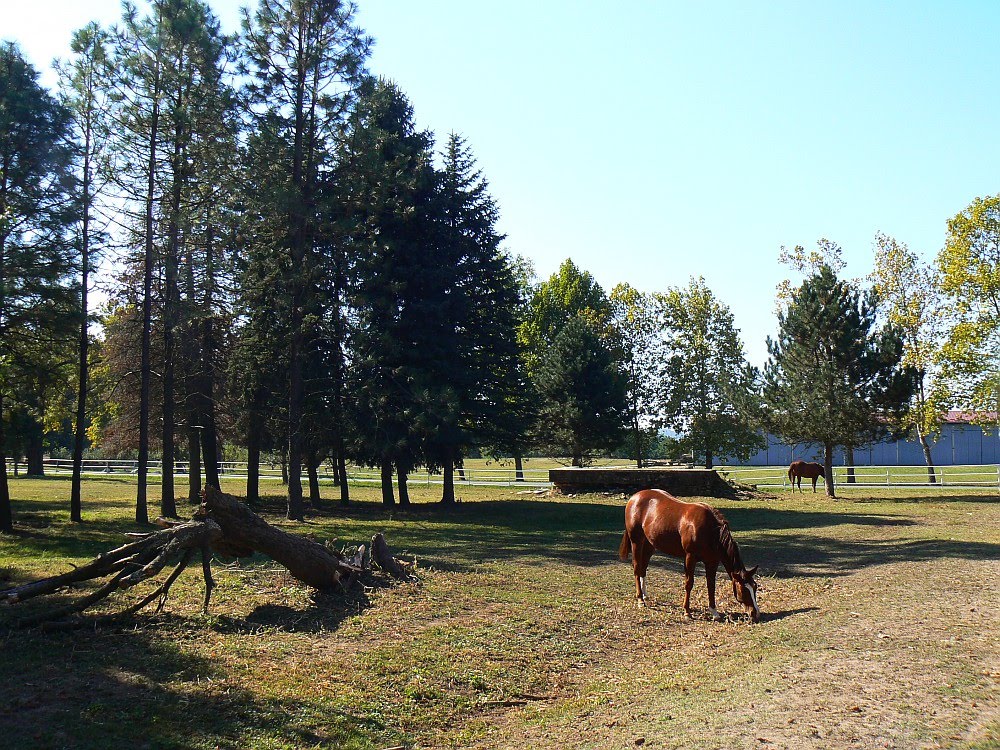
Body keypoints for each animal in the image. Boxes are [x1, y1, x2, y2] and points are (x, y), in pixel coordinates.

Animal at [616, 488, 756, 624]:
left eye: (755, 587)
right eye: (744, 590)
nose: (755, 614)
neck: (710, 531)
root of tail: (635, 497)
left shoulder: (712, 561)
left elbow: (711, 585)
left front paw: (714, 612)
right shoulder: (690, 557)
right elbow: (689, 584)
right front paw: (687, 611)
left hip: (650, 544)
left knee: (643, 567)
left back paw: (645, 594)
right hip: (636, 541)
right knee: (636, 567)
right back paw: (640, 599)